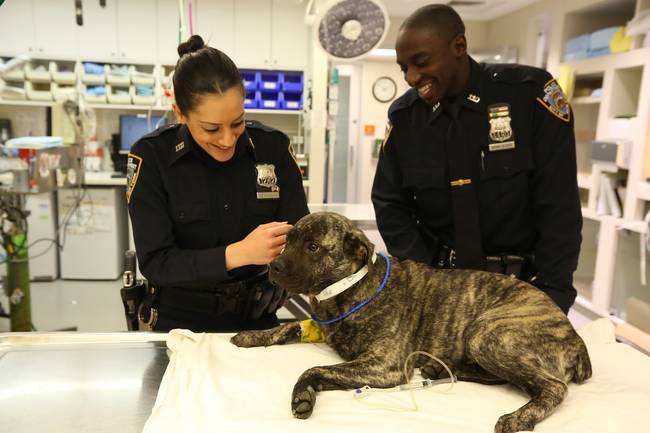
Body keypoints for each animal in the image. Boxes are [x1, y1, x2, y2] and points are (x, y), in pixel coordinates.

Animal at [230, 211, 588, 430]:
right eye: (287, 241)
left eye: (314, 247)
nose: (274, 267)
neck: (351, 286)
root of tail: (575, 338)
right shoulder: (320, 328)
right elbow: (286, 327)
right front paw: (251, 336)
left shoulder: (383, 365)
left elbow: (314, 368)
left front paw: (303, 394)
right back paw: (441, 369)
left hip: (487, 333)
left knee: (552, 387)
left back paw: (519, 417)